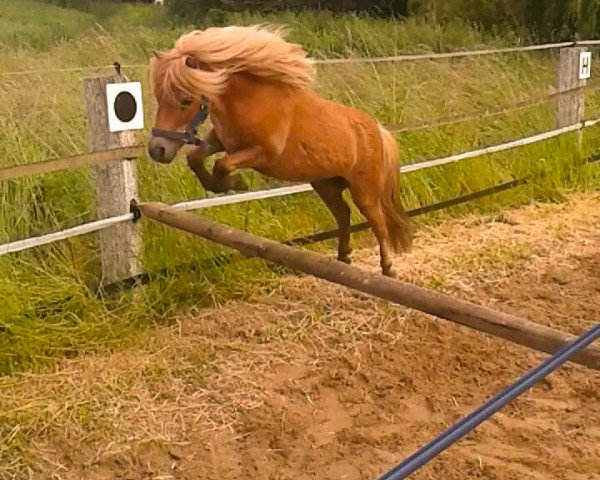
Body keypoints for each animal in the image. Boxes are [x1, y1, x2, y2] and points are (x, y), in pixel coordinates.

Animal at [148, 24, 414, 276]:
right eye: (158, 97)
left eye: (186, 100)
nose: (157, 150)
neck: (251, 99)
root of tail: (378, 130)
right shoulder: (222, 142)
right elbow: (195, 158)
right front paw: (219, 185)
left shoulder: (263, 153)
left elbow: (222, 164)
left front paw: (236, 184)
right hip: (326, 185)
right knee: (343, 214)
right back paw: (343, 258)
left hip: (364, 192)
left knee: (378, 223)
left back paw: (388, 268)